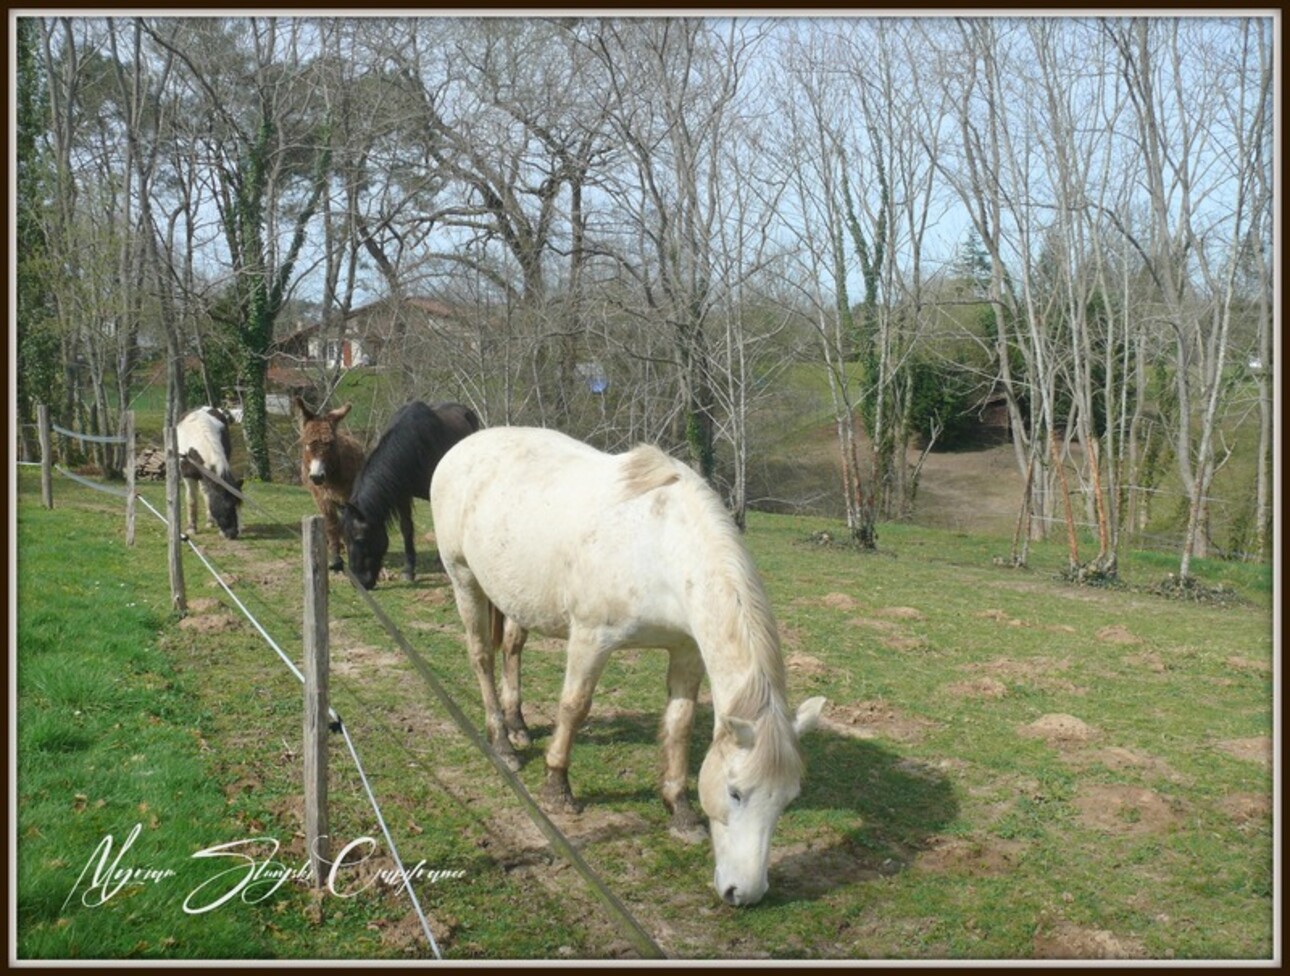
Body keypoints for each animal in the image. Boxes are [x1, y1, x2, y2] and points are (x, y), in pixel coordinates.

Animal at [340, 402, 482, 590]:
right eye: (344, 540)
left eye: (361, 539)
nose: (359, 583)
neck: (415, 446)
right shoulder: (402, 495)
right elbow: (406, 528)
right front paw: (409, 570)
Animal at [428, 425, 820, 907]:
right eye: (735, 792)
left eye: (787, 800)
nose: (744, 893)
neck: (662, 547)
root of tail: (464, 446)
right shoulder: (591, 638)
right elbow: (574, 707)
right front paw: (558, 789)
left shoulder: (687, 651)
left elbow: (679, 725)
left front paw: (680, 812)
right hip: (463, 578)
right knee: (482, 655)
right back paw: (502, 742)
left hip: (513, 594)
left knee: (512, 650)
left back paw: (518, 726)